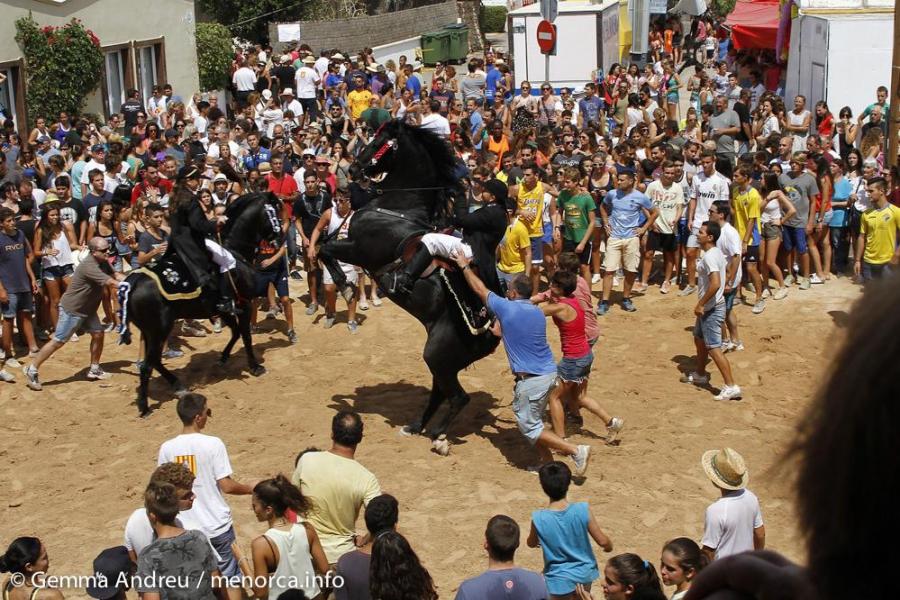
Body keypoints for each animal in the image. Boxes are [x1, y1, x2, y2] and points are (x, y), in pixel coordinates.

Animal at [118, 193, 284, 418]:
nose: (281, 237)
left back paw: (178, 385)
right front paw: (255, 366)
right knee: (147, 365)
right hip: (159, 329)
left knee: (155, 361)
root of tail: (131, 283)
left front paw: (223, 358)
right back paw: (144, 407)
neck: (234, 248)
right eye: (273, 213)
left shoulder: (224, 308)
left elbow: (235, 332)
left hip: (150, 331)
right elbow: (246, 335)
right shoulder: (244, 304)